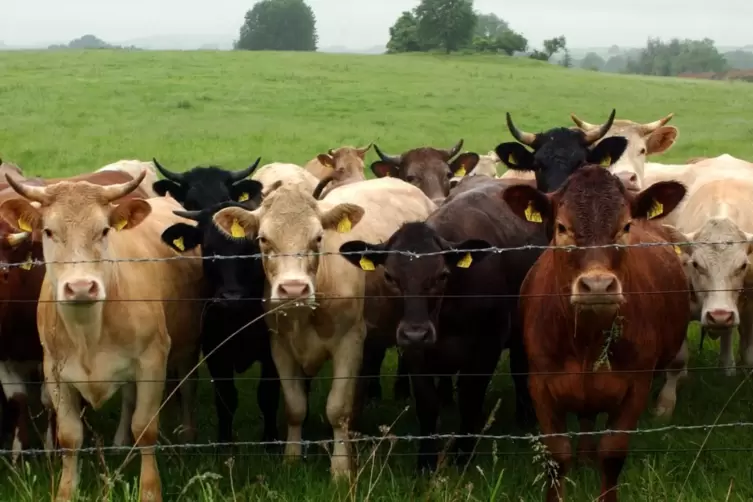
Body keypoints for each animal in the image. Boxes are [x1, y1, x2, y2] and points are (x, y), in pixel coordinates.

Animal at [212, 176, 434, 478]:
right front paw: (291, 459)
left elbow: (337, 409)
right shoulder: (279, 346)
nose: (294, 289)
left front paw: (341, 468)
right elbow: (294, 406)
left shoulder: (349, 342)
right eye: (263, 239)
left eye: (318, 238)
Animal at [502, 168, 692, 502]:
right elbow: (557, 457)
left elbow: (612, 454)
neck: (586, 344)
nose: (598, 285)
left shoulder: (636, 387)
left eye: (626, 226)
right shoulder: (539, 386)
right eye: (562, 227)